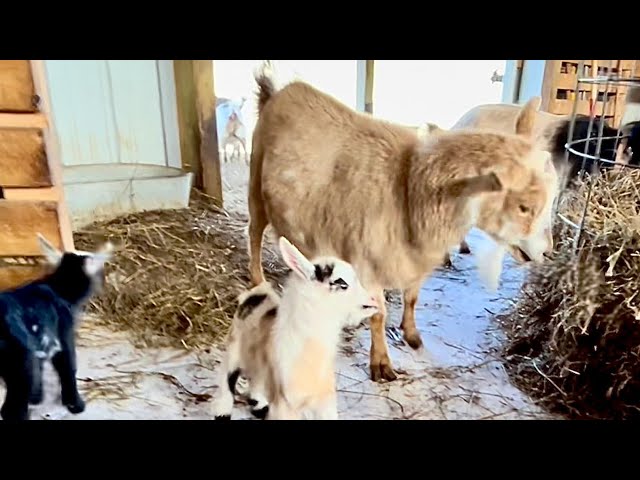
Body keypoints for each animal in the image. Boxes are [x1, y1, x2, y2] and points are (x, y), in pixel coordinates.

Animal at [0, 234, 113, 421]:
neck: (59, 288)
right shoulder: (63, 332)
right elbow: (67, 365)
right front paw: (75, 404)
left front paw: (37, 397)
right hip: (18, 360)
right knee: (12, 407)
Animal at [211, 236, 378, 420]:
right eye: (341, 283)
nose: (373, 300)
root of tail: (260, 289)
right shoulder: (285, 404)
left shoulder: (325, 402)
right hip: (234, 347)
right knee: (227, 382)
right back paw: (223, 412)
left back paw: (259, 406)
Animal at [246, 64, 559, 383]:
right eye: (524, 207)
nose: (547, 252)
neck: (409, 187)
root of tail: (277, 93)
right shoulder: (367, 259)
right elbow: (379, 313)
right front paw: (382, 363)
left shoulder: (413, 260)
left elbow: (411, 298)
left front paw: (411, 335)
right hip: (255, 181)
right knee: (254, 234)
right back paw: (260, 283)